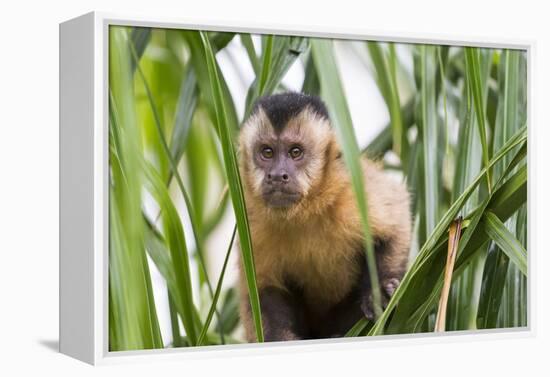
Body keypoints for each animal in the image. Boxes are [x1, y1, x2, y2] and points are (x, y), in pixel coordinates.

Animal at [239, 92, 412, 340]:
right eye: (267, 152)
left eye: (295, 152)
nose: (277, 175)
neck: (305, 211)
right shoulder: (252, 221)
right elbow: (264, 289)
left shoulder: (350, 191)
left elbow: (396, 222)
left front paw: (379, 291)